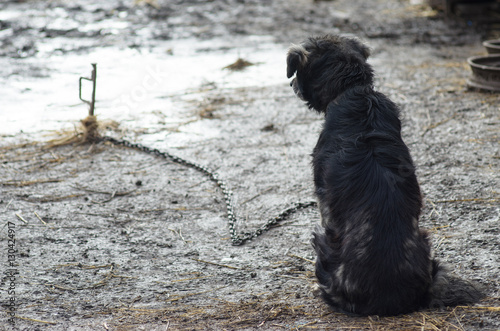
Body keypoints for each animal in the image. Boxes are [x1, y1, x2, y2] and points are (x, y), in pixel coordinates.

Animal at [288, 35, 482, 318]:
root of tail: (391, 299)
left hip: (323, 246)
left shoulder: (324, 204)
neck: (354, 92)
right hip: (425, 242)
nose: (291, 83)